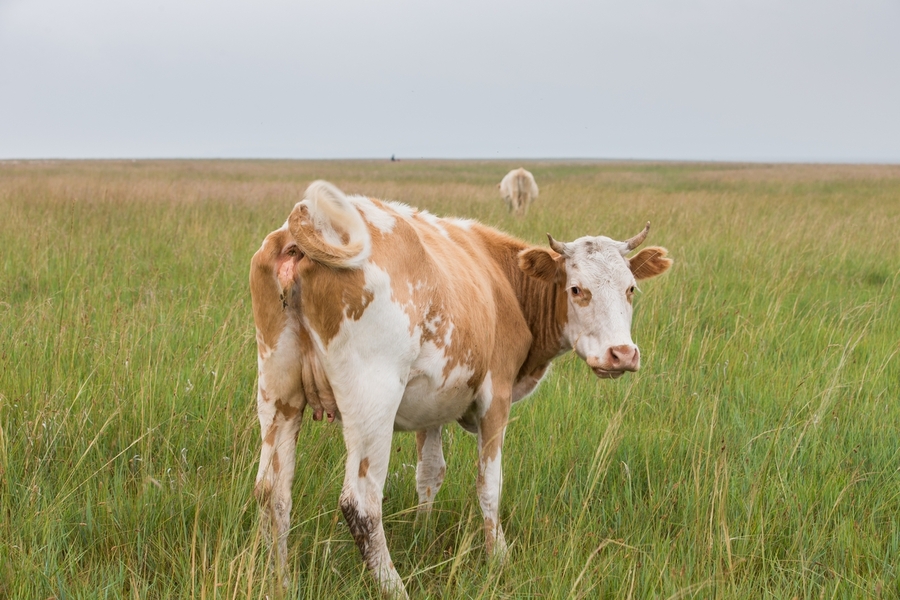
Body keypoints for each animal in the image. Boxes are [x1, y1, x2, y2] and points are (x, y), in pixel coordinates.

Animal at [250, 180, 672, 596]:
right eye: (576, 290)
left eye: (631, 289)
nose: (621, 354)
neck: (502, 282)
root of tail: (311, 218)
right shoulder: (495, 398)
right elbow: (489, 485)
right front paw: (498, 558)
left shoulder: (431, 405)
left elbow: (429, 474)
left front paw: (422, 533)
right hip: (372, 399)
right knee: (361, 503)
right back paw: (394, 587)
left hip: (278, 391)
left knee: (273, 493)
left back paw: (280, 582)